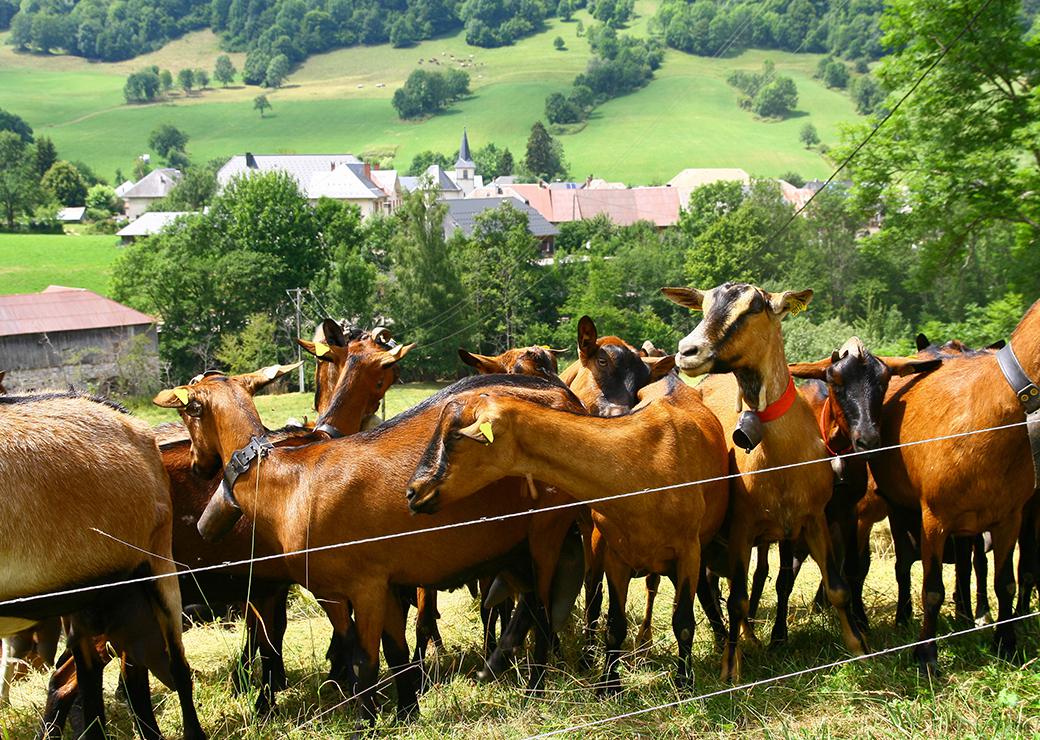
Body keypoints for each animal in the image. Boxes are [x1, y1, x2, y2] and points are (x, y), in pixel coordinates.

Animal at [151, 370, 586, 723]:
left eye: (188, 411)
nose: (199, 465)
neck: (289, 480)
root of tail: (568, 399)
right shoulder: (369, 585)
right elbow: (394, 653)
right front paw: (407, 713)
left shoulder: (361, 586)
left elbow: (362, 660)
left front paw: (366, 722)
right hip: (514, 545)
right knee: (531, 604)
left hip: (547, 526)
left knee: (540, 610)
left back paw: (535, 687)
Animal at [401, 376, 728, 694]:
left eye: (454, 437)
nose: (413, 492)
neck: (644, 463)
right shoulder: (616, 555)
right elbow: (615, 625)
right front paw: (608, 686)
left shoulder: (688, 551)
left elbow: (682, 622)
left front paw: (684, 684)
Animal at [665, 282, 869, 681]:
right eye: (703, 306)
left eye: (754, 307)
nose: (687, 351)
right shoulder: (741, 527)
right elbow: (737, 600)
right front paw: (730, 668)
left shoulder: (813, 518)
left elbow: (837, 587)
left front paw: (858, 648)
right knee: (713, 588)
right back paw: (731, 642)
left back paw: (751, 638)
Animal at [869, 301, 1040, 677]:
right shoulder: (933, 517)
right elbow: (932, 589)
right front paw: (925, 655)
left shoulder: (1009, 517)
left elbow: (1005, 583)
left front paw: (1006, 643)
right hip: (899, 506)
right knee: (904, 565)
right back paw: (903, 618)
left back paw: (965, 614)